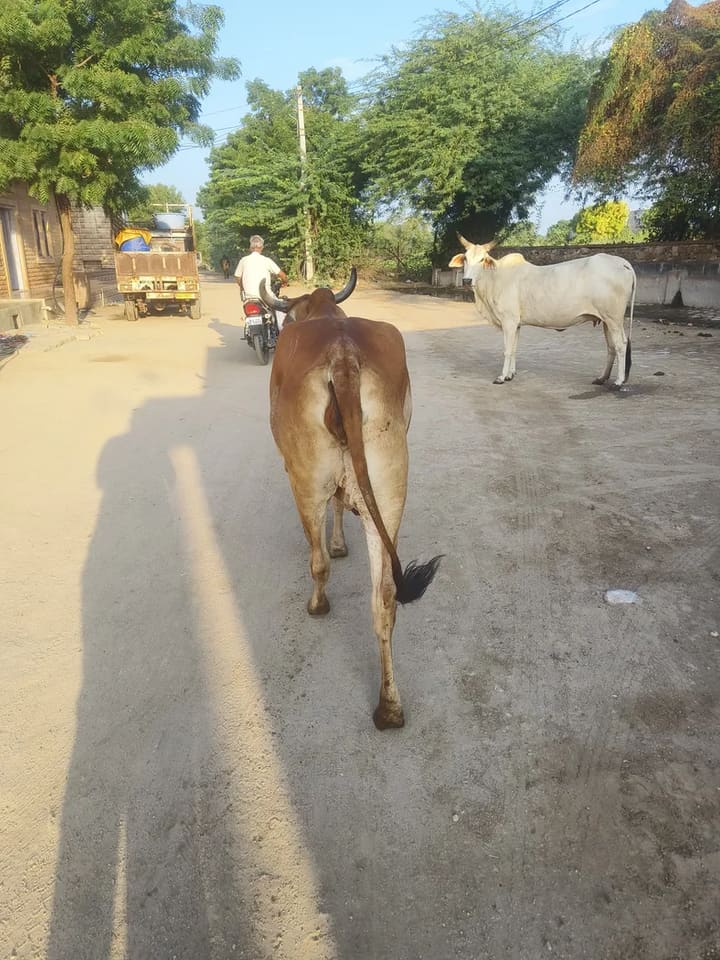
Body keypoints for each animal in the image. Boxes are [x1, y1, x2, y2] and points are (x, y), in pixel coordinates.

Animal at [261, 270, 441, 730]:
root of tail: (343, 358)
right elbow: (343, 505)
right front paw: (343, 543)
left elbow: (330, 526)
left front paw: (336, 546)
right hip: (389, 491)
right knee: (386, 599)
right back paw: (389, 707)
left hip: (305, 482)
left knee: (318, 560)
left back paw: (318, 604)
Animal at [449, 236, 637, 386]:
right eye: (465, 258)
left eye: (482, 259)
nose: (467, 280)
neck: (495, 278)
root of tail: (622, 263)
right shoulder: (516, 324)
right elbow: (514, 349)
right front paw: (510, 374)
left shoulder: (508, 321)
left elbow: (507, 350)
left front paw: (501, 377)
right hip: (606, 320)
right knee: (611, 347)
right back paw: (602, 378)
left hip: (614, 318)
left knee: (621, 344)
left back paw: (619, 381)